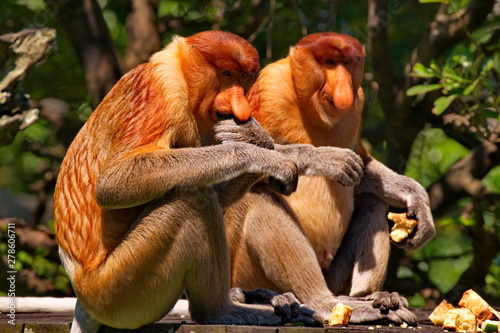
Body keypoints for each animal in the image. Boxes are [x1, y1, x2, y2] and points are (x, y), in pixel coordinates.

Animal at [53, 31, 360, 332]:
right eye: (226, 73)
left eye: (244, 76)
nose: (240, 107)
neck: (185, 81)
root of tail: (82, 292)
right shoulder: (160, 93)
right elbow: (114, 182)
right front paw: (260, 153)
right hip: (120, 289)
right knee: (192, 199)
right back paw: (225, 311)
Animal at [221, 32, 436, 322]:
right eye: (330, 62)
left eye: (349, 62)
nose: (343, 88)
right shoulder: (270, 87)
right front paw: (328, 159)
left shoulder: (357, 103)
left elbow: (363, 166)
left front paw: (417, 198)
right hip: (242, 269)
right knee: (257, 194)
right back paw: (324, 303)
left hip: (334, 277)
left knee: (373, 202)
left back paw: (375, 297)